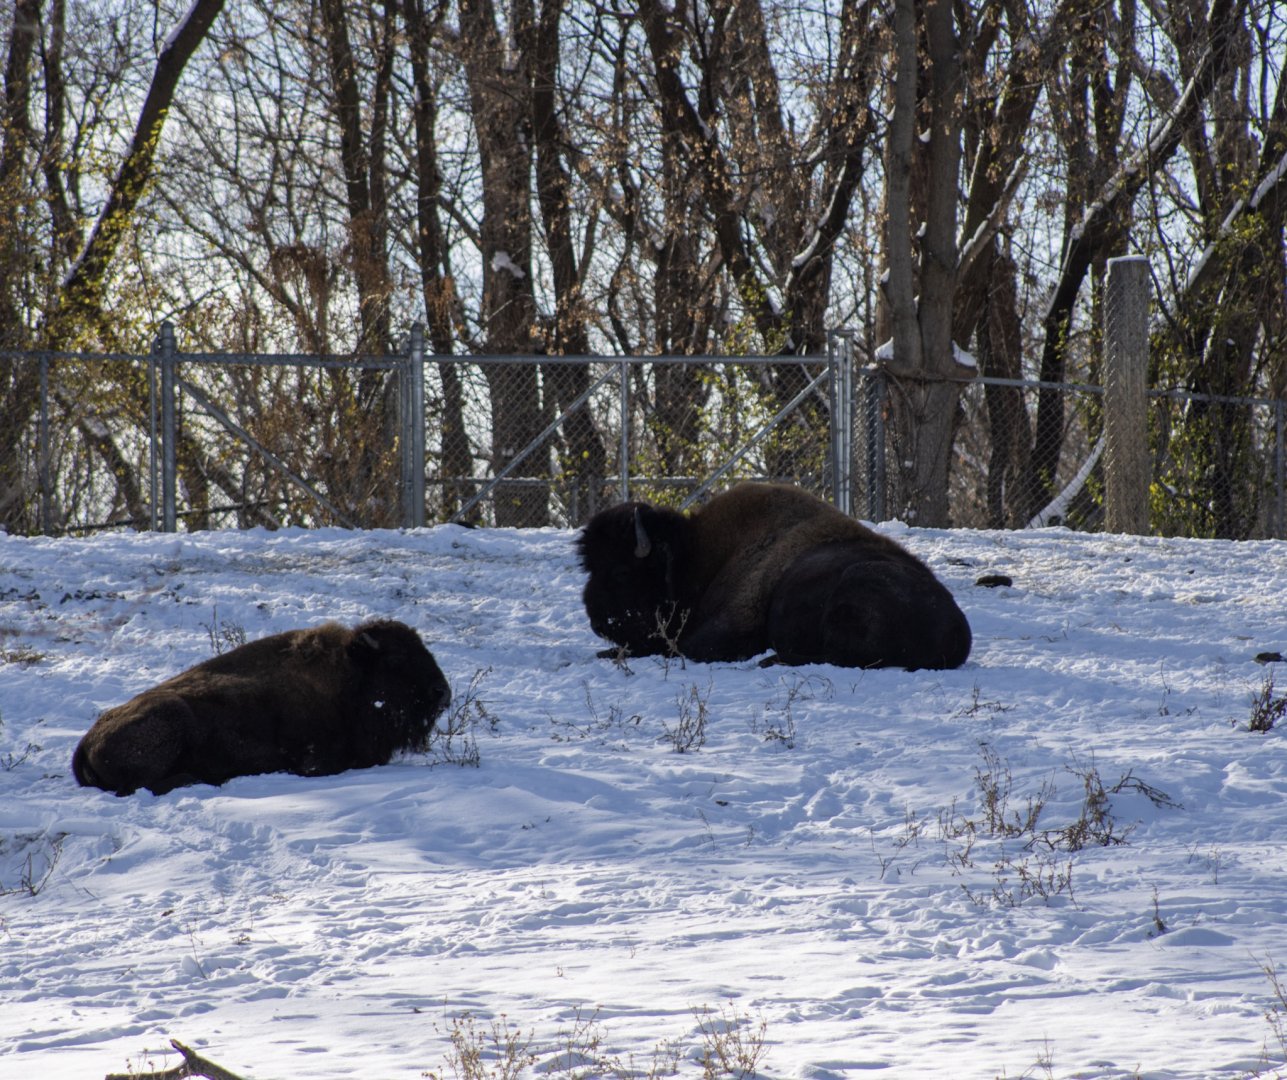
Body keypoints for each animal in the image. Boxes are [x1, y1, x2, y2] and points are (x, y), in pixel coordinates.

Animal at [72, 619, 451, 796]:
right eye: (396, 658)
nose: (443, 692)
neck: (350, 675)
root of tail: (85, 743)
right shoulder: (317, 761)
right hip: (171, 718)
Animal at [577, 482, 971, 670]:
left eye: (621, 571)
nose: (598, 622)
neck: (696, 553)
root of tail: (958, 631)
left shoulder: (727, 629)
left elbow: (678, 648)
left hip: (858, 584)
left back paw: (769, 660)